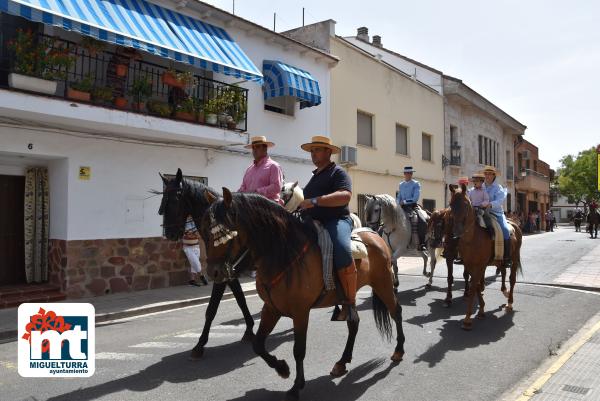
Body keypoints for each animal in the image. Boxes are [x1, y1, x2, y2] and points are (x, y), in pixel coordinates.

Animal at [156, 169, 254, 360]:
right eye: (163, 199)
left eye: (174, 200)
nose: (170, 233)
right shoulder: (228, 273)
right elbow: (240, 299)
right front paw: (249, 330)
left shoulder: (221, 274)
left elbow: (212, 308)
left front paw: (200, 344)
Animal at [202, 188, 404, 400]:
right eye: (205, 230)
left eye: (226, 233)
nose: (214, 273)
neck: (285, 255)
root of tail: (376, 235)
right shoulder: (271, 308)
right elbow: (258, 344)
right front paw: (282, 369)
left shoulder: (300, 312)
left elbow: (298, 350)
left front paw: (296, 386)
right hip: (351, 297)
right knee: (354, 323)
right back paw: (342, 362)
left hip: (383, 284)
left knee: (396, 312)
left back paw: (398, 351)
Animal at [448, 183, 524, 330]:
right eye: (451, 204)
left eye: (465, 204)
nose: (456, 232)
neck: (472, 237)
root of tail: (514, 224)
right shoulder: (471, 265)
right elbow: (477, 285)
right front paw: (481, 310)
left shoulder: (480, 265)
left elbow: (473, 287)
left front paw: (467, 319)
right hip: (500, 261)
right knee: (503, 272)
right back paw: (504, 292)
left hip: (514, 258)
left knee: (512, 279)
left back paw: (510, 302)